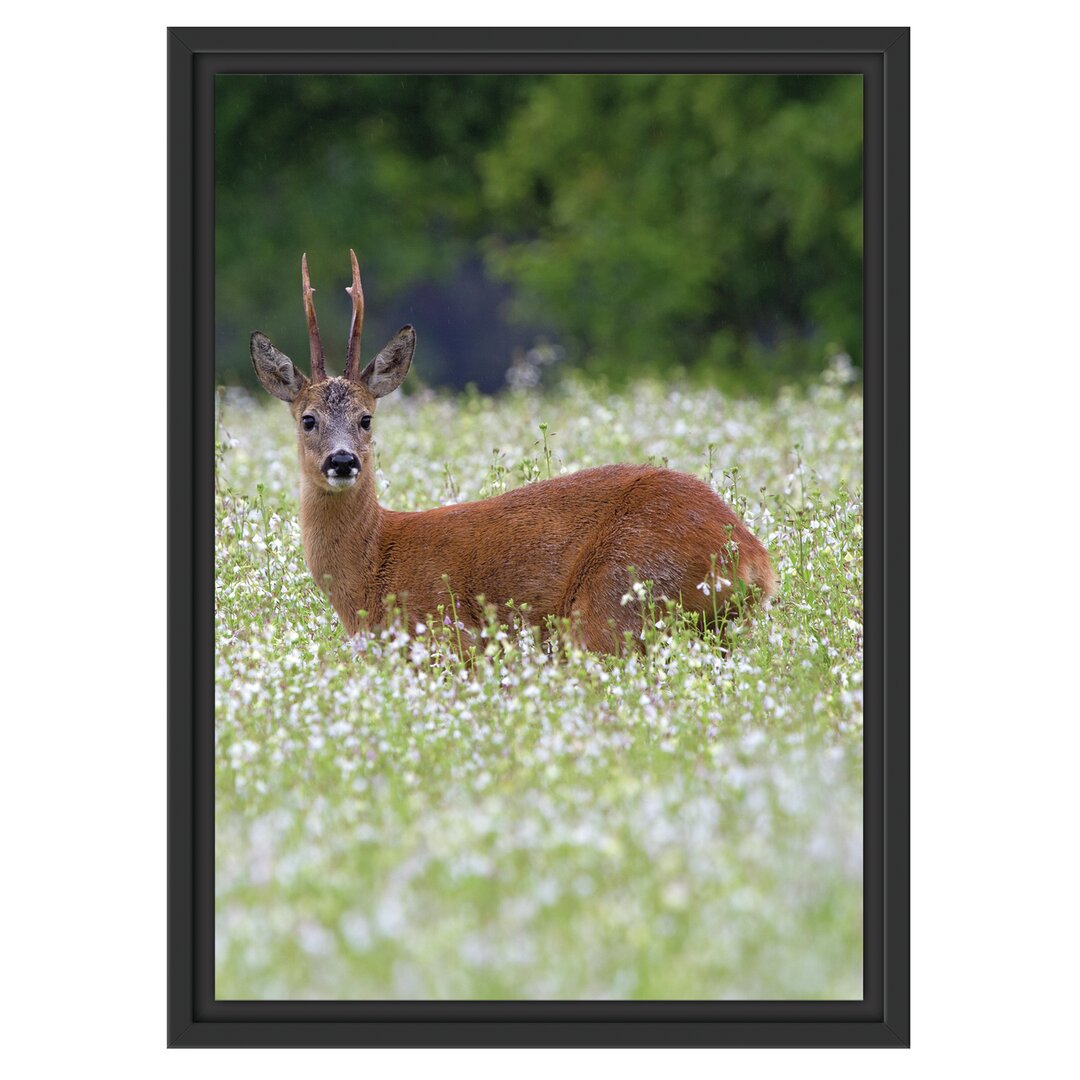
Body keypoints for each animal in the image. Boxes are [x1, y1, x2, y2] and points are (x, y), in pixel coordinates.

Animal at [250, 251, 777, 652]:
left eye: (366, 418)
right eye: (308, 419)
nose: (342, 461)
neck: (375, 567)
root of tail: (754, 559)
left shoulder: (446, 637)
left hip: (618, 600)